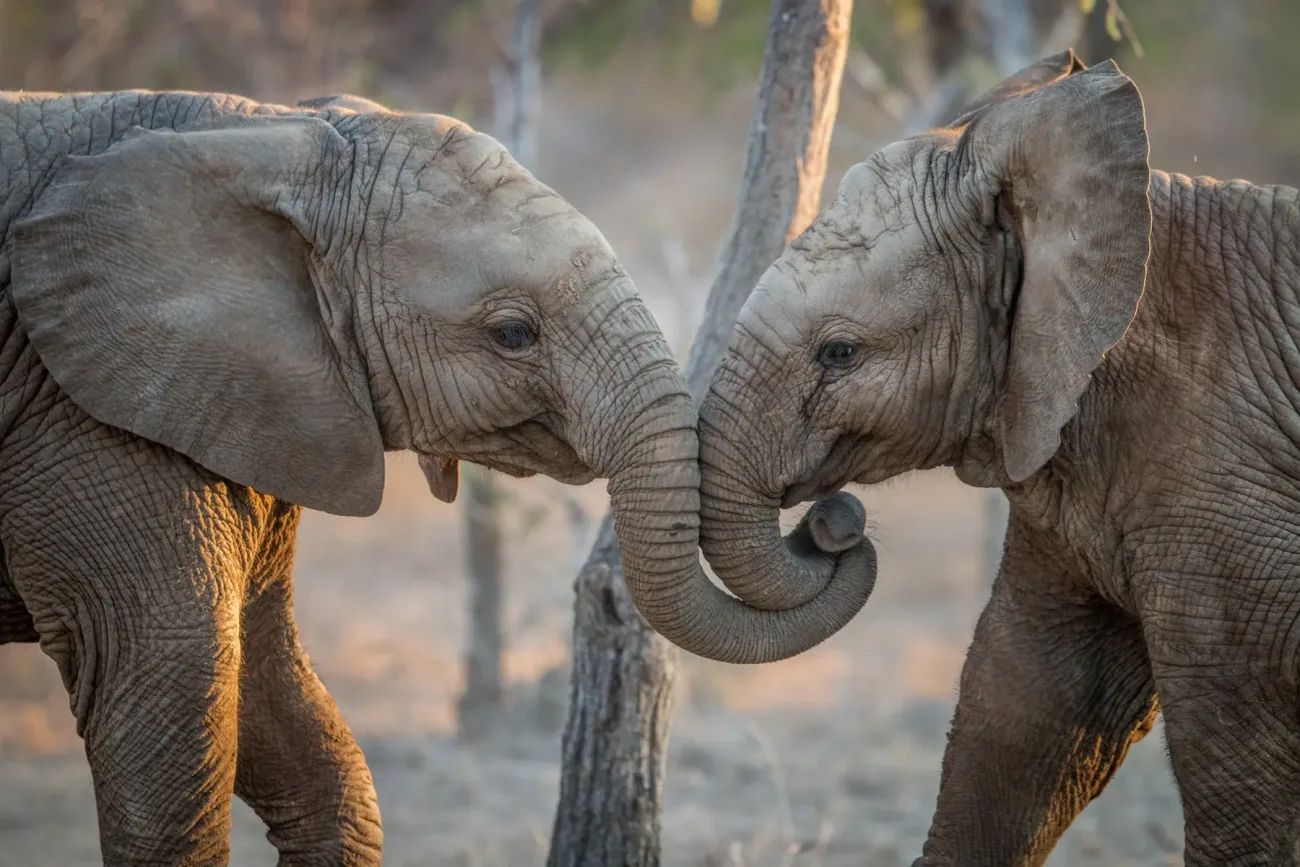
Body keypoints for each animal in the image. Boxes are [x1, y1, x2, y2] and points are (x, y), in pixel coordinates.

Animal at [0, 89, 875, 864]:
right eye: (512, 333)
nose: (835, 519)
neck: (264, 130)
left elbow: (274, 689)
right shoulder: (85, 415)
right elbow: (178, 672)